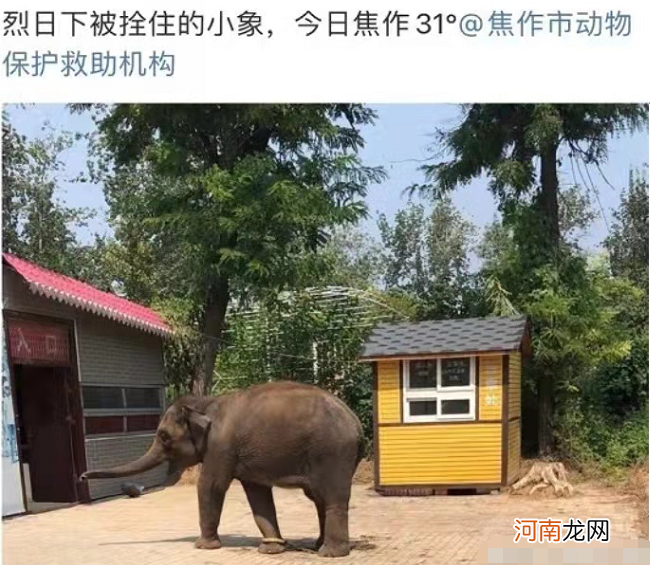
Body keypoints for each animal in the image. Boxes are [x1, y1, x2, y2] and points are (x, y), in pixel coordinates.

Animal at [80, 381, 365, 558]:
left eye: (164, 436)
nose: (82, 476)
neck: (204, 403)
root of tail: (356, 421)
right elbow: (258, 495)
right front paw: (270, 549)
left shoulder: (220, 446)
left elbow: (210, 485)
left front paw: (204, 547)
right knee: (318, 498)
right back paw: (318, 546)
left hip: (333, 453)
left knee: (332, 497)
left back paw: (330, 553)